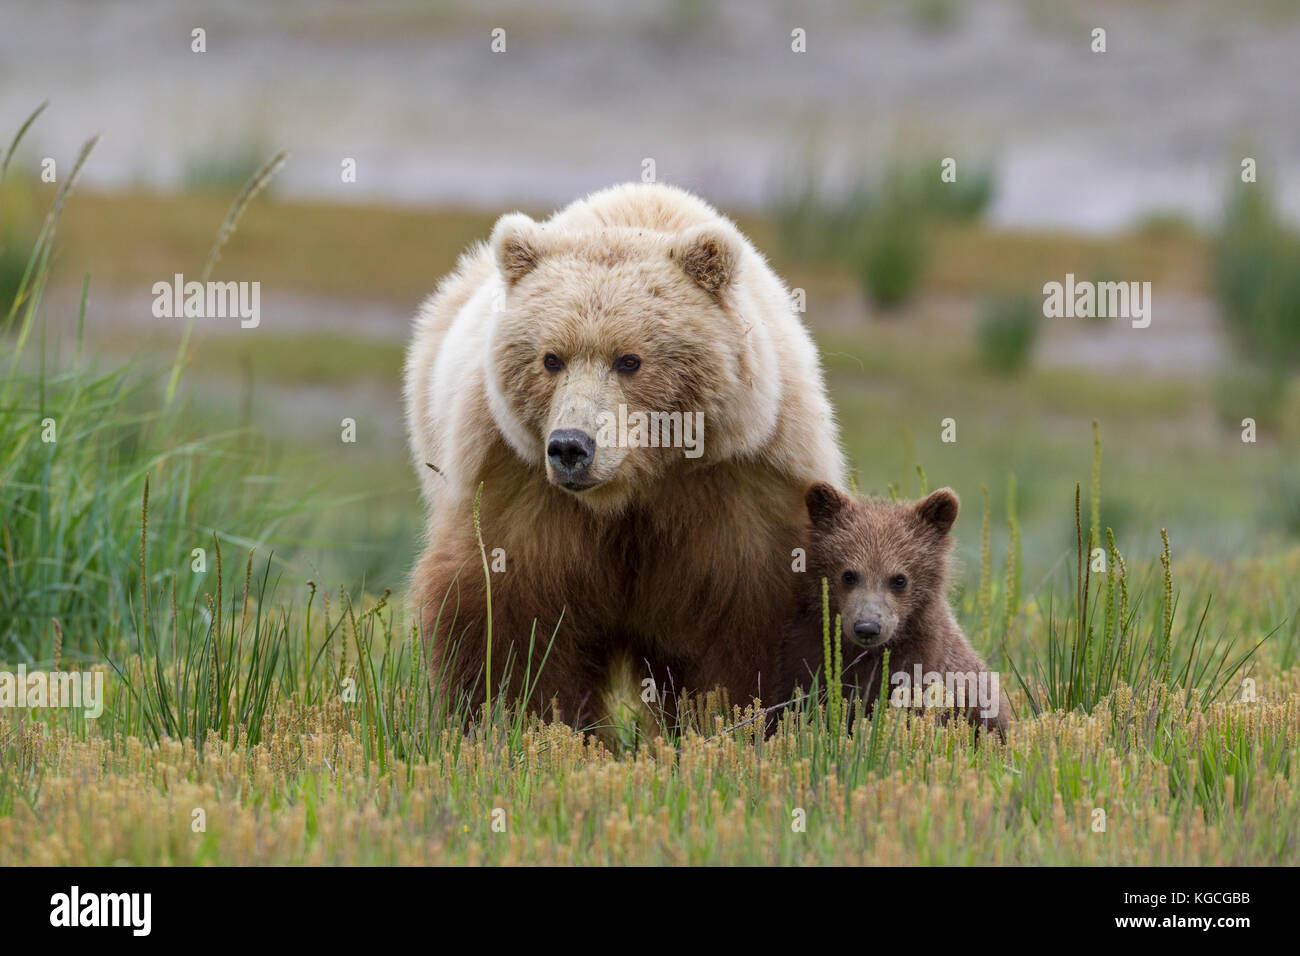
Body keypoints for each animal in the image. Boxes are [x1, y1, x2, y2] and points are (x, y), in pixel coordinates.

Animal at [403, 182, 845, 726]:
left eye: (629, 360)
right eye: (551, 359)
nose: (570, 447)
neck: (633, 488)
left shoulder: (738, 492)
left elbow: (747, 630)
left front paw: (740, 719)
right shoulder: (522, 490)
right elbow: (509, 622)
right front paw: (519, 722)